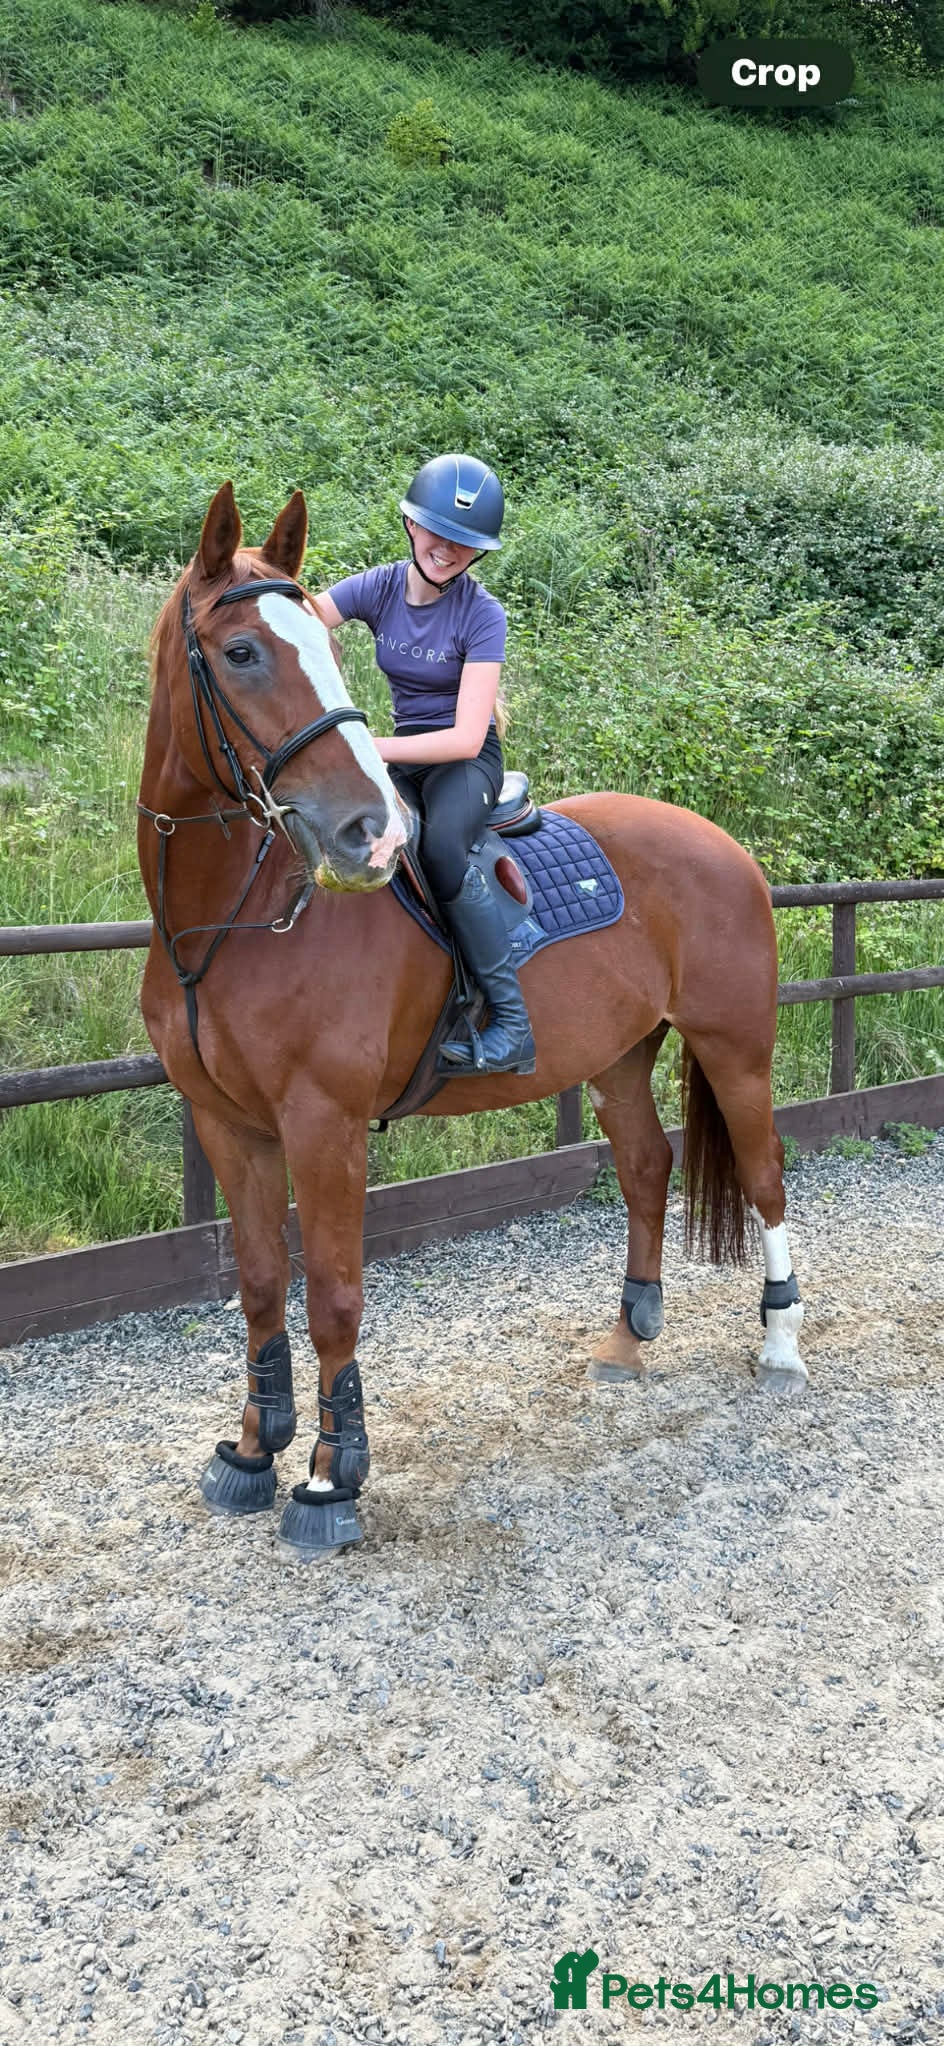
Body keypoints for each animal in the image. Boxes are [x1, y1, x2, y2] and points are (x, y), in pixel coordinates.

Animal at [138, 482, 805, 1562]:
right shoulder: (228, 1125)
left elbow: (332, 1298)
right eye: (241, 652)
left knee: (763, 1175)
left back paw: (781, 1344)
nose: (366, 833)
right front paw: (249, 1452)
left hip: (735, 1048)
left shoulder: (323, 1127)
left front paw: (330, 1481)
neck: (236, 921)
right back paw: (627, 1337)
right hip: (619, 1056)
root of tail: (721, 842)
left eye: (321, 648)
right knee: (644, 1167)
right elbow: (259, 1286)